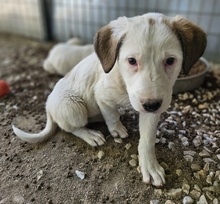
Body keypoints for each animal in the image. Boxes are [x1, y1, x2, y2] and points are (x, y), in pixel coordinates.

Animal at [13, 13, 206, 186]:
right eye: (131, 61)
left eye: (170, 61)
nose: (151, 105)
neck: (122, 81)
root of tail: (48, 104)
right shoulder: (102, 97)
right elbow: (111, 115)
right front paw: (117, 130)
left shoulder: (152, 107)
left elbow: (147, 140)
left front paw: (150, 167)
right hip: (73, 107)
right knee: (70, 127)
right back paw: (90, 134)